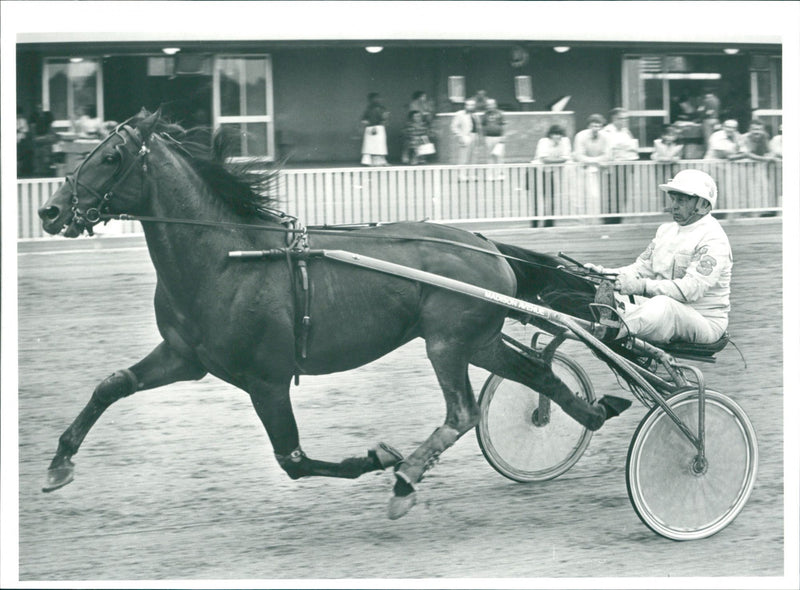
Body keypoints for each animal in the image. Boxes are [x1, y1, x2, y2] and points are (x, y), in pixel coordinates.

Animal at [39, 108, 632, 520]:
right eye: (89, 150)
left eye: (110, 157)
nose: (49, 210)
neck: (227, 258)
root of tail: (486, 243)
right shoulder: (186, 357)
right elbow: (112, 384)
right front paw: (59, 463)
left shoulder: (266, 379)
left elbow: (294, 460)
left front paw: (381, 458)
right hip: (478, 340)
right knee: (537, 373)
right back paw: (592, 411)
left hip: (446, 342)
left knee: (462, 413)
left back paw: (406, 479)